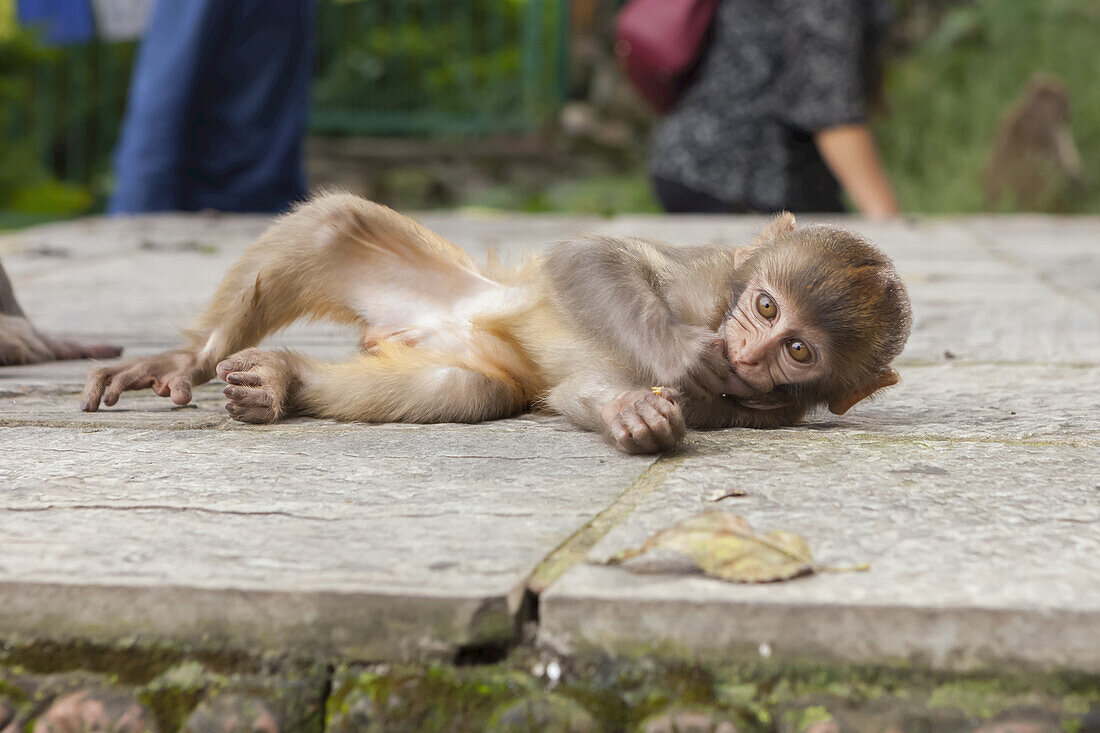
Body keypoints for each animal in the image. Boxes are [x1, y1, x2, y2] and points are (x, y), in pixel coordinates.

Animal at [79, 191, 910, 451]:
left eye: (796, 349)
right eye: (765, 305)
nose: (749, 347)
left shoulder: (759, 410)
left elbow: (584, 388)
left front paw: (636, 414)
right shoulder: (706, 277)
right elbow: (585, 256)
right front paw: (674, 356)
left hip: (469, 349)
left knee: (464, 388)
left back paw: (284, 380)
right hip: (438, 289)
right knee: (335, 224)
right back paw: (185, 362)